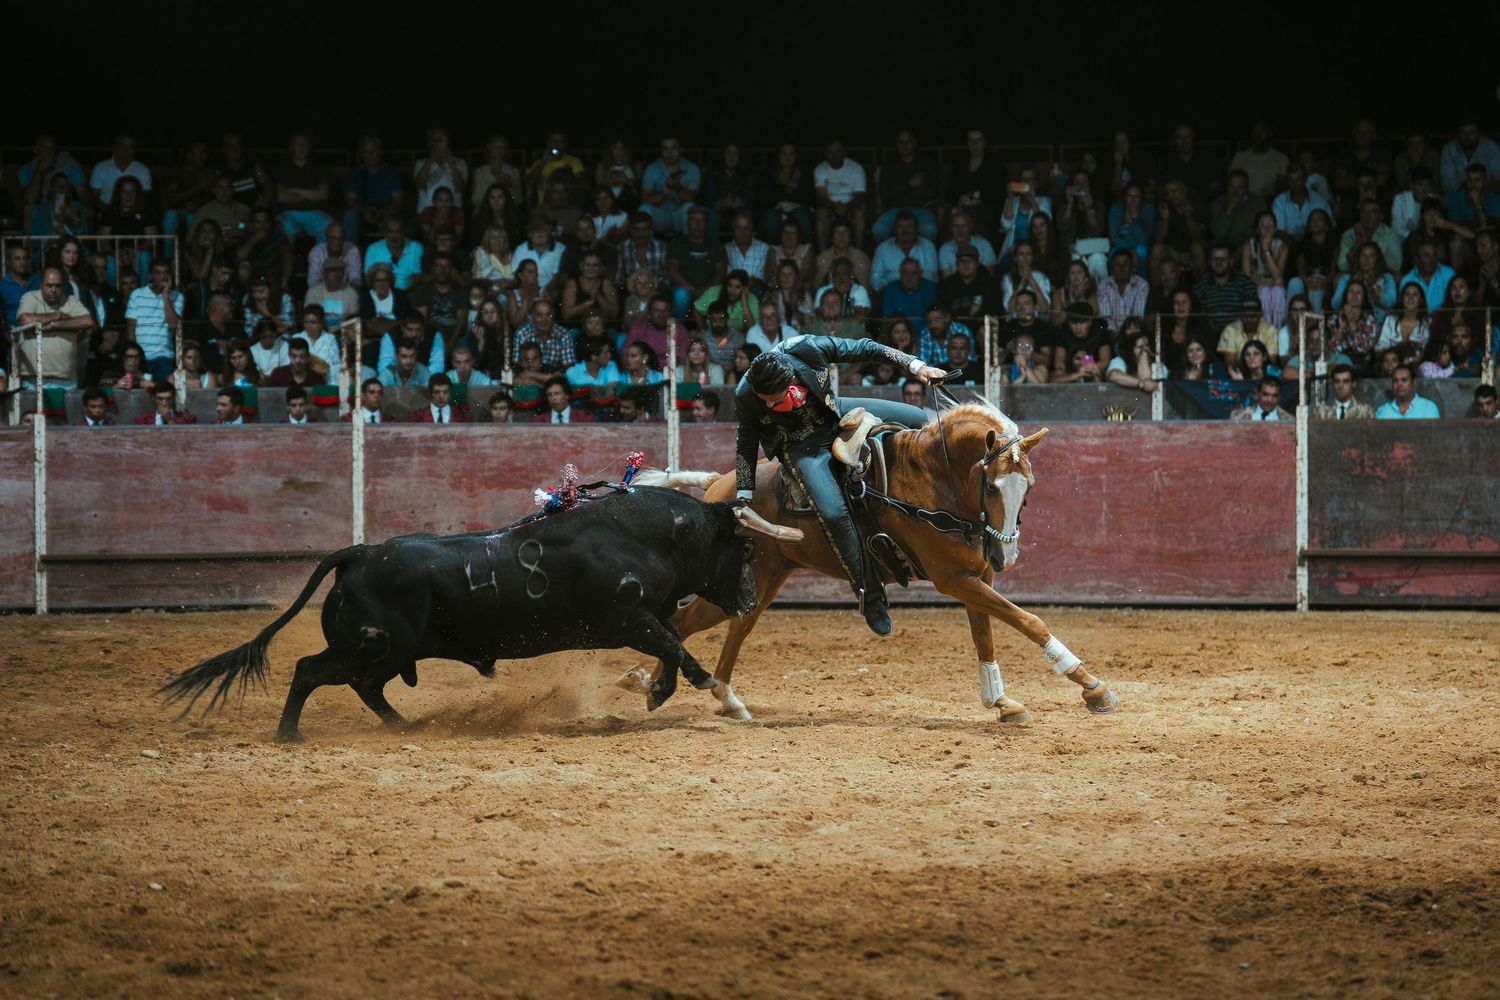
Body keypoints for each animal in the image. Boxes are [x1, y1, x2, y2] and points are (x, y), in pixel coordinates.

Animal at [160, 479, 802, 741]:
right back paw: (290, 734)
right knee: (311, 671)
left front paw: (660, 691)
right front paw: (699, 686)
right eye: (744, 549)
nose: (750, 600)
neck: (644, 534)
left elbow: (669, 642)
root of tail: (361, 552)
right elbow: (672, 642)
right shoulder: (627, 619)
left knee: (365, 687)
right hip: (372, 644)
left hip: (387, 653)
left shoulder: (642, 620)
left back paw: (404, 726)